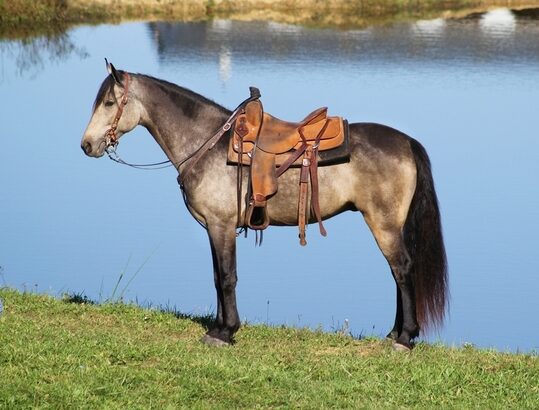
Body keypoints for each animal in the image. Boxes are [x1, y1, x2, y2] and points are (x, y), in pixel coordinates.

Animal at [81, 62, 452, 350]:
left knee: (402, 269)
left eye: (110, 101)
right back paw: (395, 333)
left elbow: (227, 277)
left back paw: (404, 338)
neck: (207, 142)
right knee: (397, 272)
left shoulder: (221, 224)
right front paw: (219, 327)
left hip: (384, 224)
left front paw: (226, 332)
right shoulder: (216, 227)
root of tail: (407, 142)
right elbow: (217, 276)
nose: (87, 145)